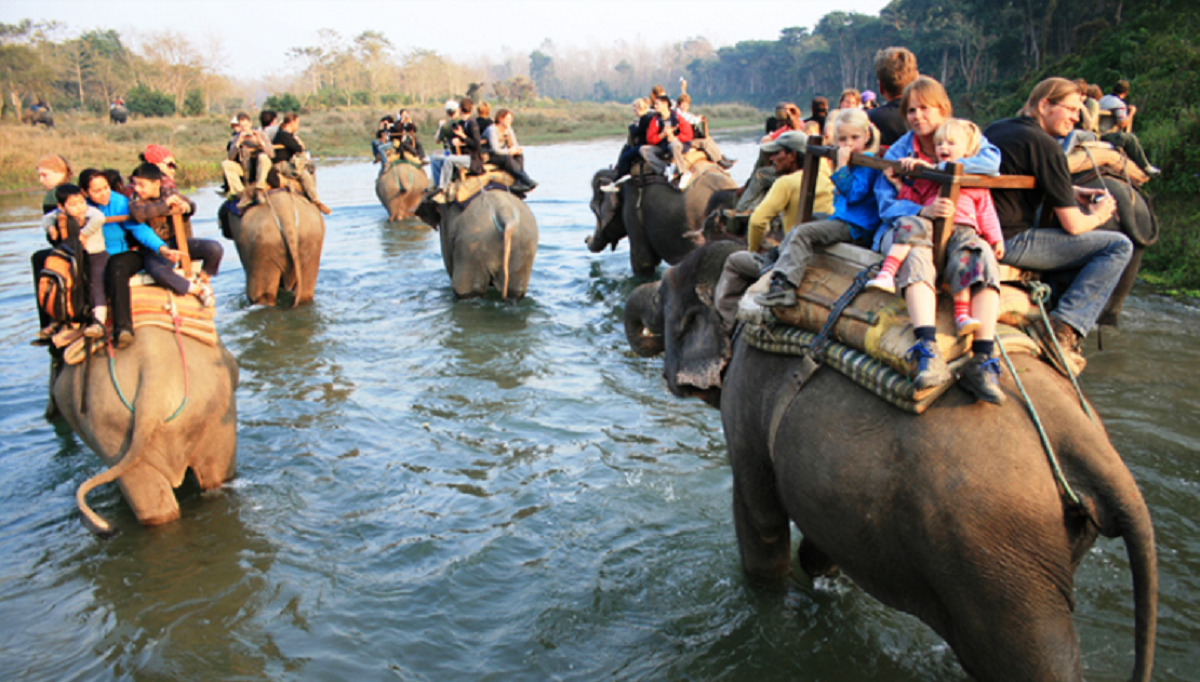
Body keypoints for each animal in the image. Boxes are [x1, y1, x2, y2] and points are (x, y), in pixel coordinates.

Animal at [624, 244, 1156, 682]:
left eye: (664, 303)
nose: (642, 309)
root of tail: (1089, 446)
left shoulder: (746, 400)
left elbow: (761, 522)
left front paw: (772, 602)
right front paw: (820, 578)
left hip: (1001, 563)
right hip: (1055, 544)